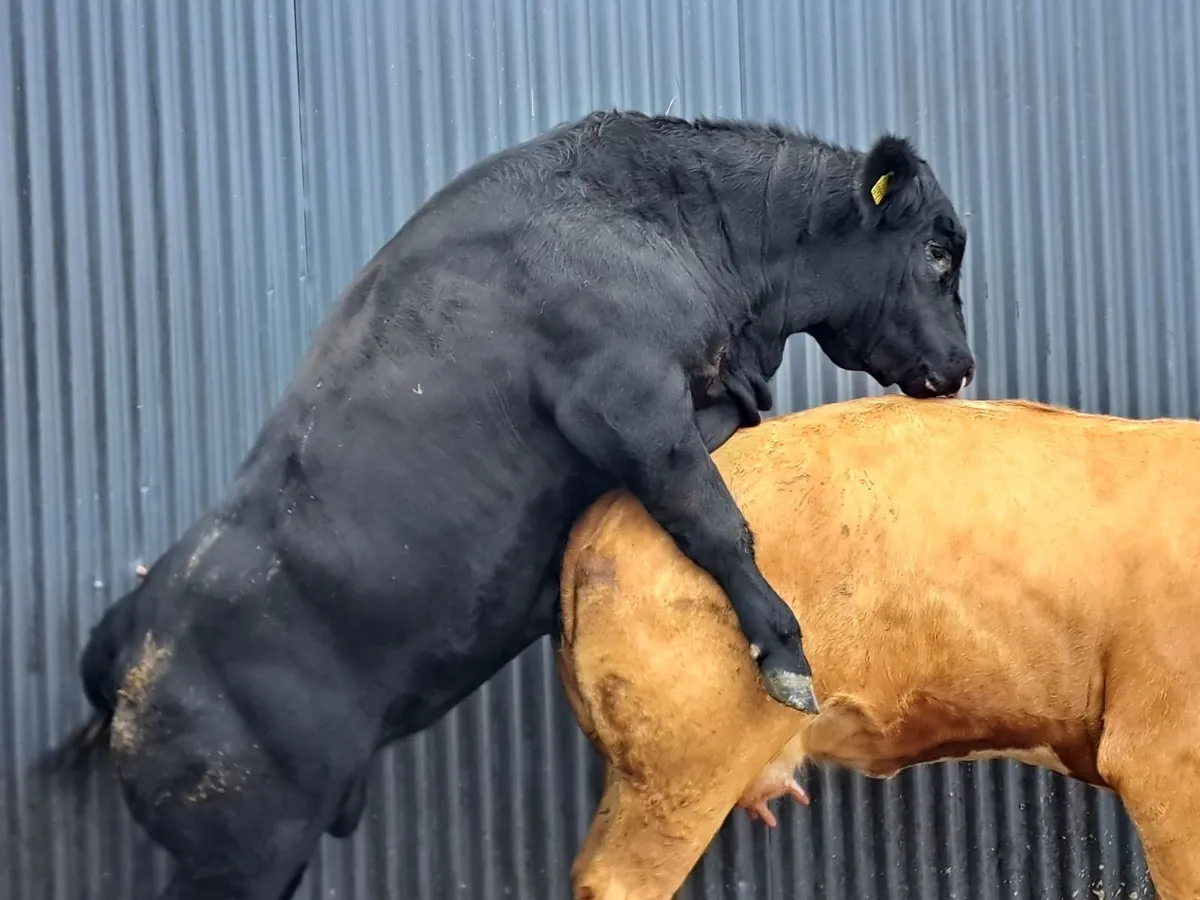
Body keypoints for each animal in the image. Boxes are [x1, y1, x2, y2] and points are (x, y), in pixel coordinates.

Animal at [46, 110, 973, 900]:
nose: (962, 365)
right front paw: (785, 655)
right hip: (244, 847)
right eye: (936, 251)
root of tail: (132, 630)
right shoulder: (628, 402)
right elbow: (714, 522)